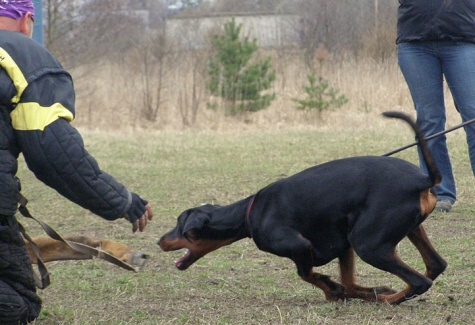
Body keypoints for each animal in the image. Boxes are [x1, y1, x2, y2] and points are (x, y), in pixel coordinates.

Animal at [160, 112, 450, 304]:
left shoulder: (302, 247)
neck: (249, 213)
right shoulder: (342, 245)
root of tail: (422, 180)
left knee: (419, 281)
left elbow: (307, 274)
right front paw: (362, 290)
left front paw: (333, 289)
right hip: (406, 230)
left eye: (179, 225)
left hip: (369, 244)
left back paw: (386, 301)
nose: (159, 240)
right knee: (435, 266)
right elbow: (349, 283)